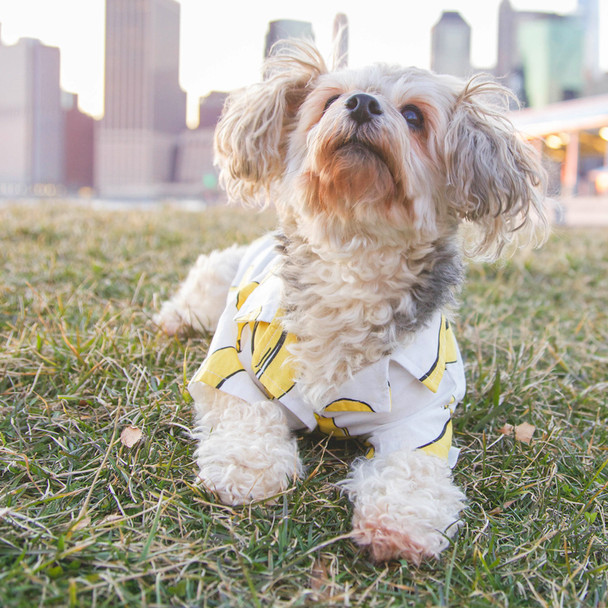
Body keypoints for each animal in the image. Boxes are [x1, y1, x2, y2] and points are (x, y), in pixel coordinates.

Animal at [157, 41, 548, 564]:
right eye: (329, 100)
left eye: (413, 116)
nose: (362, 103)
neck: (353, 255)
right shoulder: (230, 364)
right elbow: (246, 413)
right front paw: (246, 468)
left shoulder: (424, 418)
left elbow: (410, 468)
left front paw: (400, 520)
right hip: (219, 280)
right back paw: (176, 317)